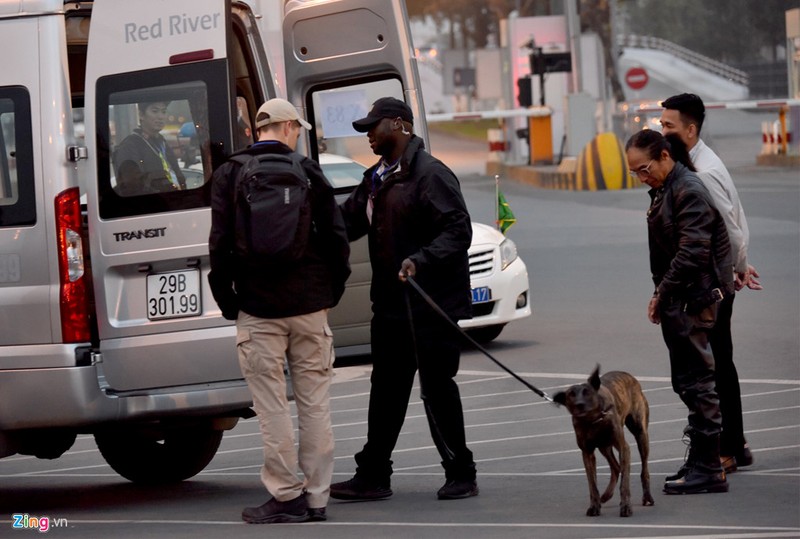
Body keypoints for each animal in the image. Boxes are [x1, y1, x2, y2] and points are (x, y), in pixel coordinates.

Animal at [552, 368, 652, 520]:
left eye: (587, 392)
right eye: (571, 395)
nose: (579, 404)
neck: (592, 421)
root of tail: (628, 375)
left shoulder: (624, 448)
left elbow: (625, 484)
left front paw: (626, 507)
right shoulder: (587, 453)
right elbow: (592, 484)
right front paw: (594, 506)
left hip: (640, 434)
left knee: (643, 470)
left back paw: (647, 497)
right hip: (604, 446)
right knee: (616, 467)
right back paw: (606, 495)